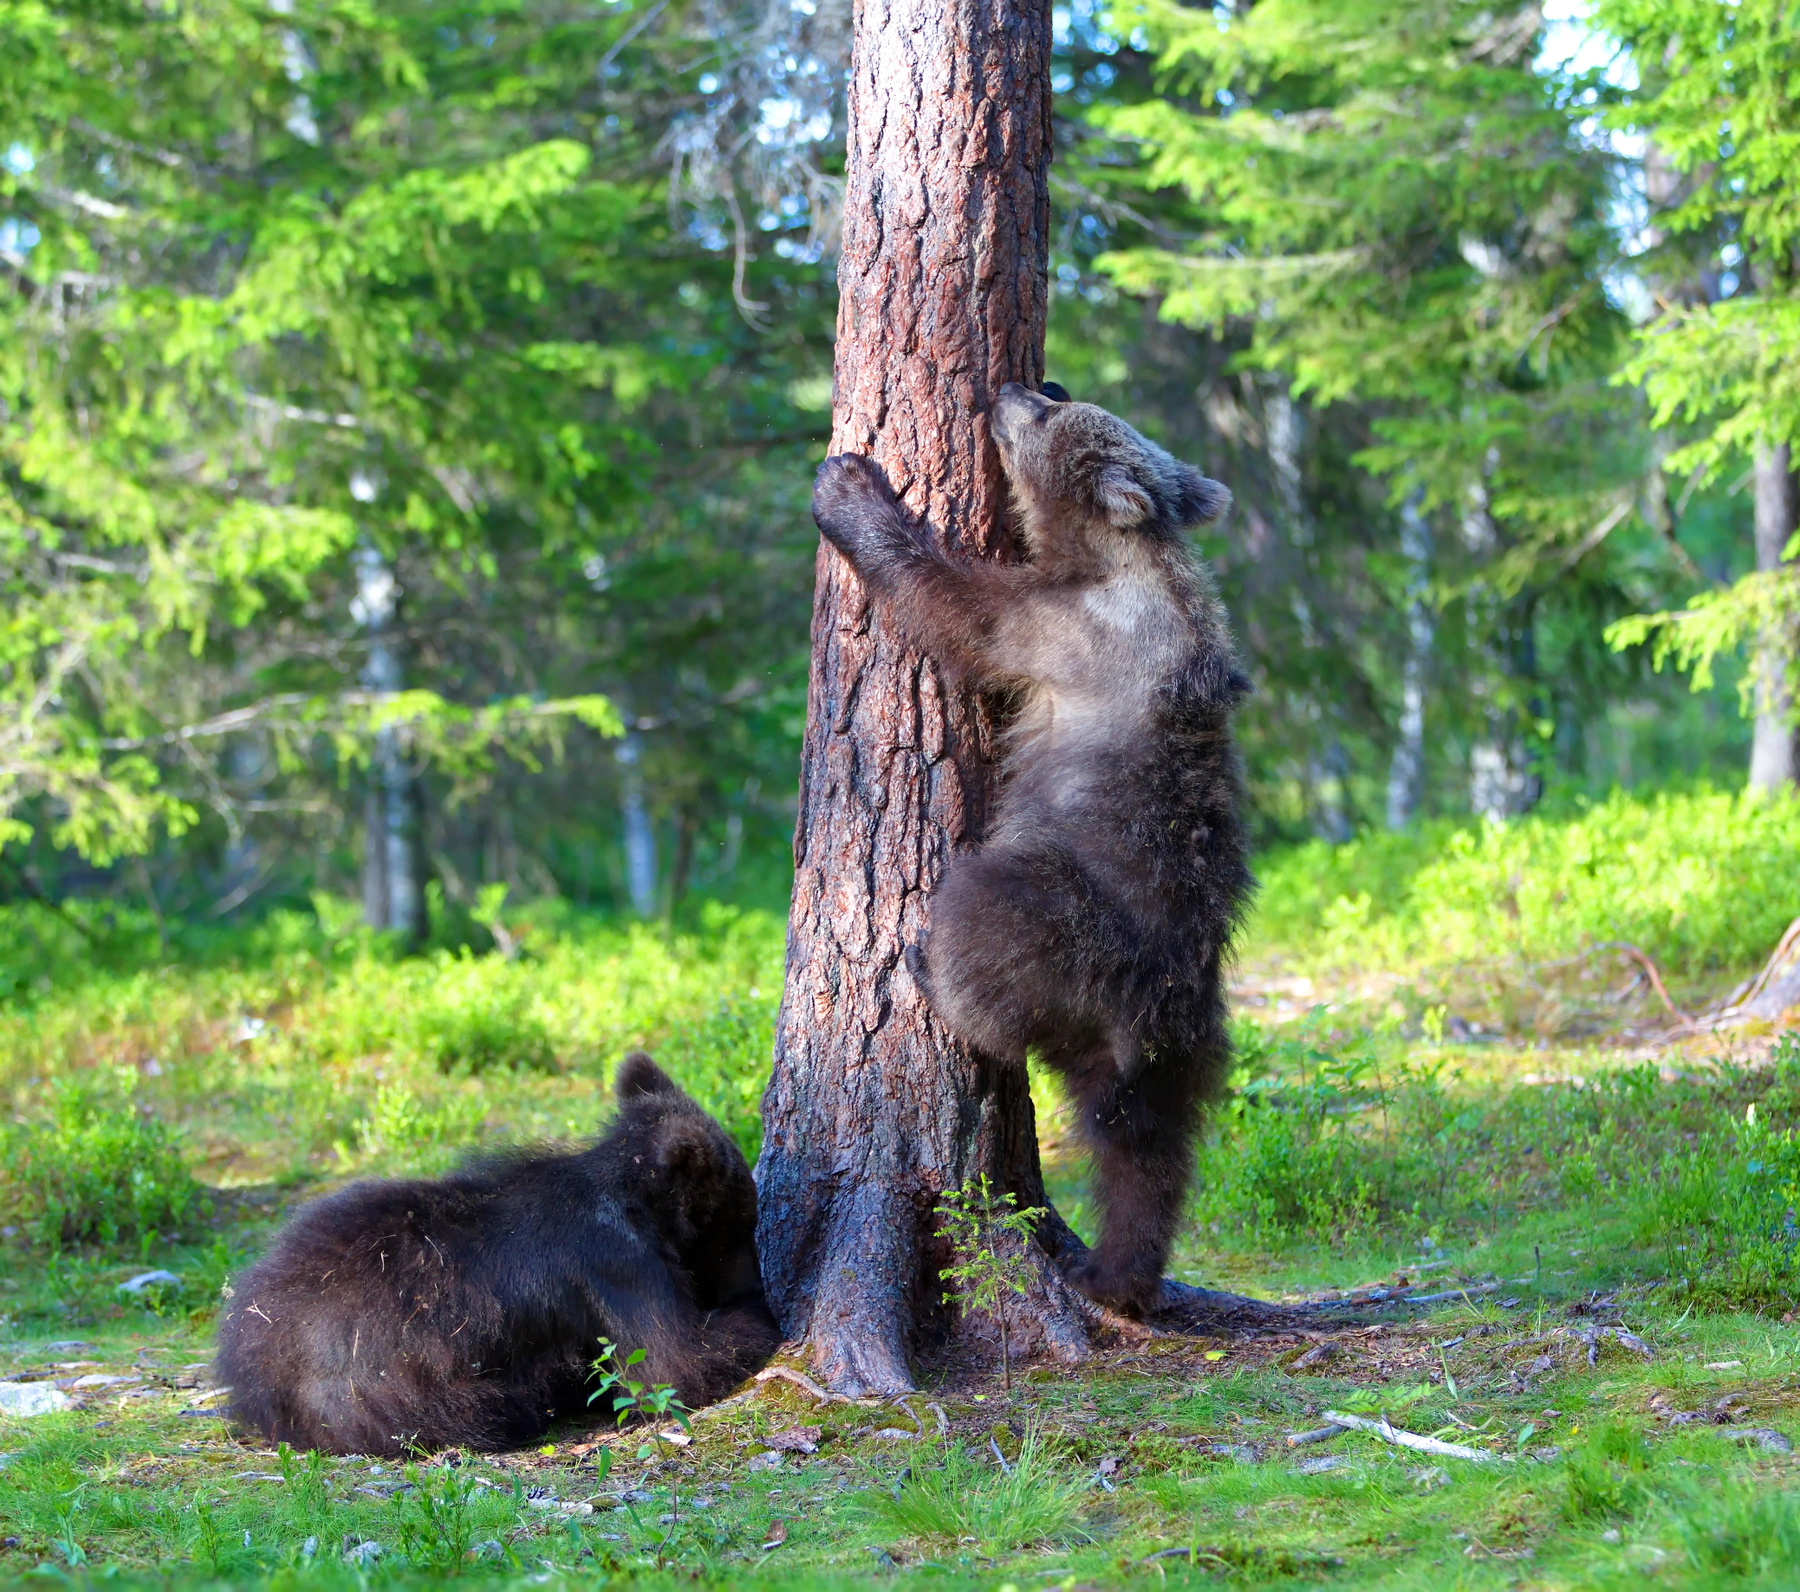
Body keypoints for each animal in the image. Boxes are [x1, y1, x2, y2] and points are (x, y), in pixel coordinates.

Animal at [215, 1052, 779, 1455]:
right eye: (742, 1221)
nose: (755, 1279)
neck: (638, 1200)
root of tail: (247, 1362)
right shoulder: (618, 1267)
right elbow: (671, 1362)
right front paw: (759, 1318)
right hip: (370, 1389)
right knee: (480, 1410)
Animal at [811, 381, 1252, 1315]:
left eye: (1054, 416)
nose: (1028, 387)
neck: (1112, 553)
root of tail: (1140, 1013)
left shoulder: (1061, 626)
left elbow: (954, 611)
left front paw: (849, 488)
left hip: (1064, 911)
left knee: (988, 919)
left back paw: (930, 971)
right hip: (1189, 1039)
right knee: (1146, 1151)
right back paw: (1115, 1275)